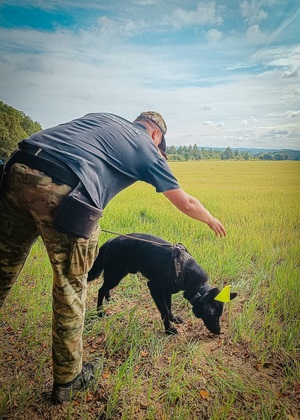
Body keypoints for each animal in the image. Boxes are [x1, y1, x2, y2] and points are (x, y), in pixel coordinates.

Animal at [86, 233, 237, 334]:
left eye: (219, 315)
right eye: (212, 314)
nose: (218, 332)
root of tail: (110, 241)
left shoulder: (168, 291)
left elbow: (168, 307)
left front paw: (173, 318)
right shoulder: (155, 288)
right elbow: (164, 310)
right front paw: (169, 329)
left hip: (116, 275)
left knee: (105, 288)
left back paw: (109, 299)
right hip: (115, 275)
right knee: (101, 289)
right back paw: (100, 312)